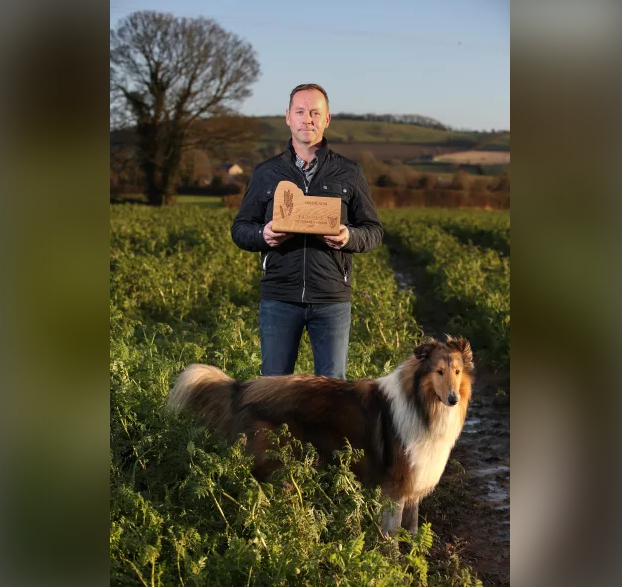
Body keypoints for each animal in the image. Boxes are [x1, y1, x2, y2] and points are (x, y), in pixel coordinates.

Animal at [168, 336, 476, 536]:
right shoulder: (395, 487)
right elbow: (391, 535)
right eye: (439, 372)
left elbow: (410, 531)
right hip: (272, 464)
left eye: (457, 371)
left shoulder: (415, 482)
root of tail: (241, 388)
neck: (422, 404)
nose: (453, 399)